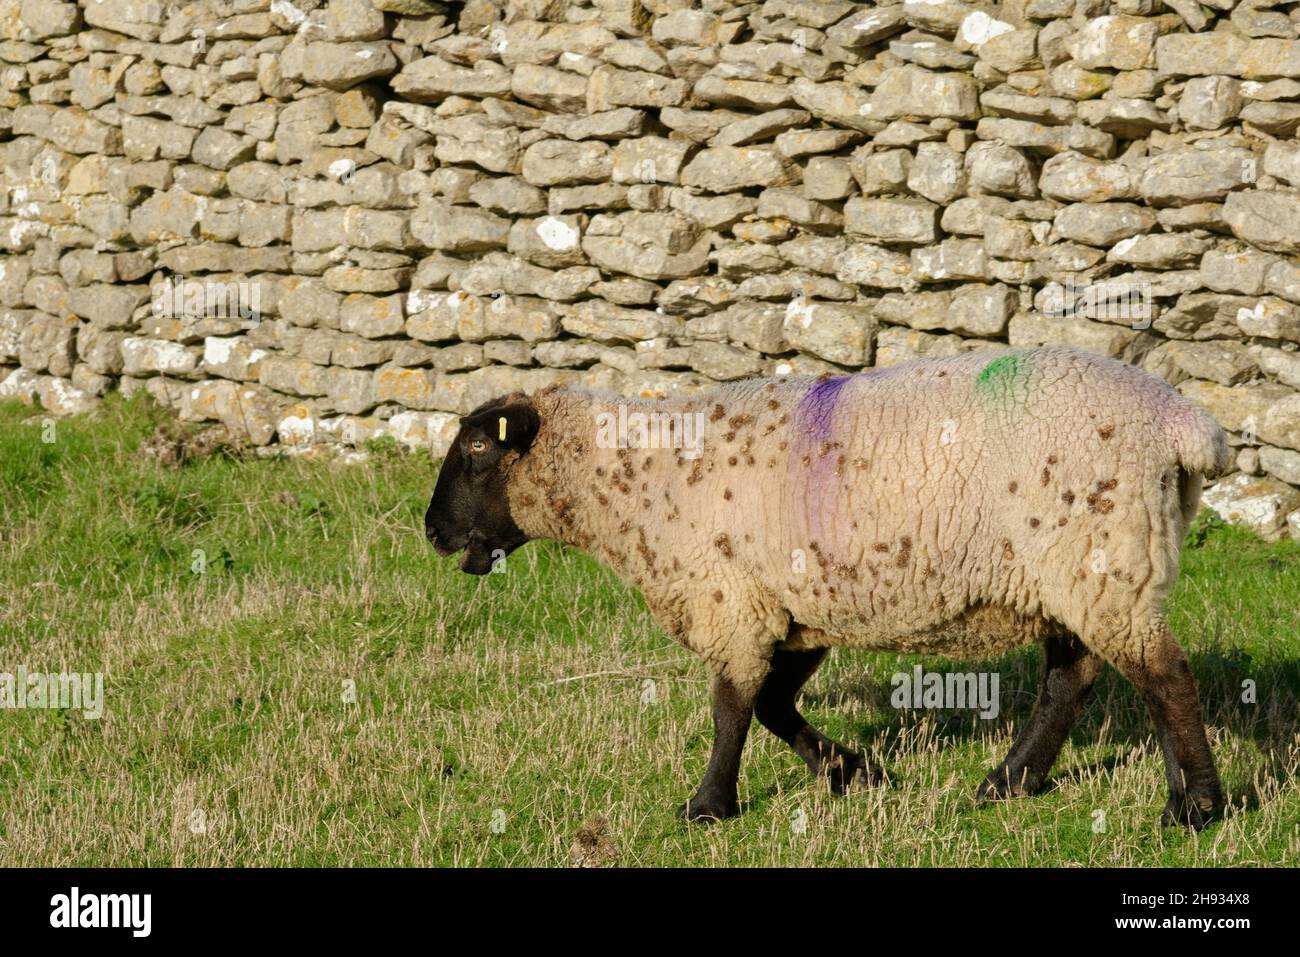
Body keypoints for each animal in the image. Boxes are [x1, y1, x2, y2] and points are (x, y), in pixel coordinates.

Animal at [426, 345, 1227, 832]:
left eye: (478, 447)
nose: (432, 532)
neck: (630, 481)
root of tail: (1183, 425)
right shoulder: (792, 609)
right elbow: (774, 706)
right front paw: (855, 771)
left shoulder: (732, 600)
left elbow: (733, 709)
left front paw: (708, 806)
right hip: (1079, 569)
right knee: (1077, 676)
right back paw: (1011, 782)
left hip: (1100, 556)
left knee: (1166, 679)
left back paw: (1196, 808)